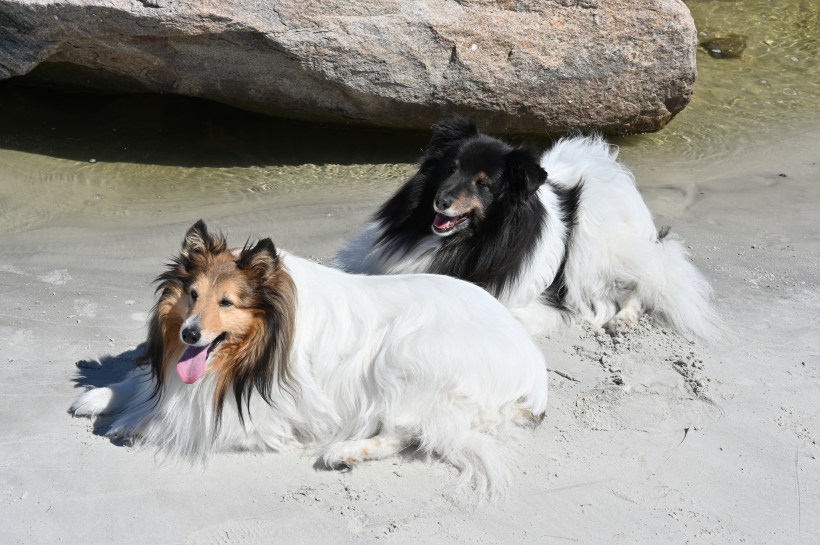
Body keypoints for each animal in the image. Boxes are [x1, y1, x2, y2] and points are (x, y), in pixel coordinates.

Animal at [71, 220, 548, 497]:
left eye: (227, 302)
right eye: (192, 294)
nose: (189, 333)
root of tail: (532, 367)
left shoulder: (265, 416)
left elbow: (178, 413)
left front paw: (133, 422)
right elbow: (147, 386)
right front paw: (100, 397)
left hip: (407, 354)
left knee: (405, 431)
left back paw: (347, 451)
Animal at [334, 117, 718, 339]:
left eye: (483, 184)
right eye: (450, 169)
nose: (440, 202)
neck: (468, 240)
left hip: (598, 250)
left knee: (642, 283)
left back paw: (622, 319)